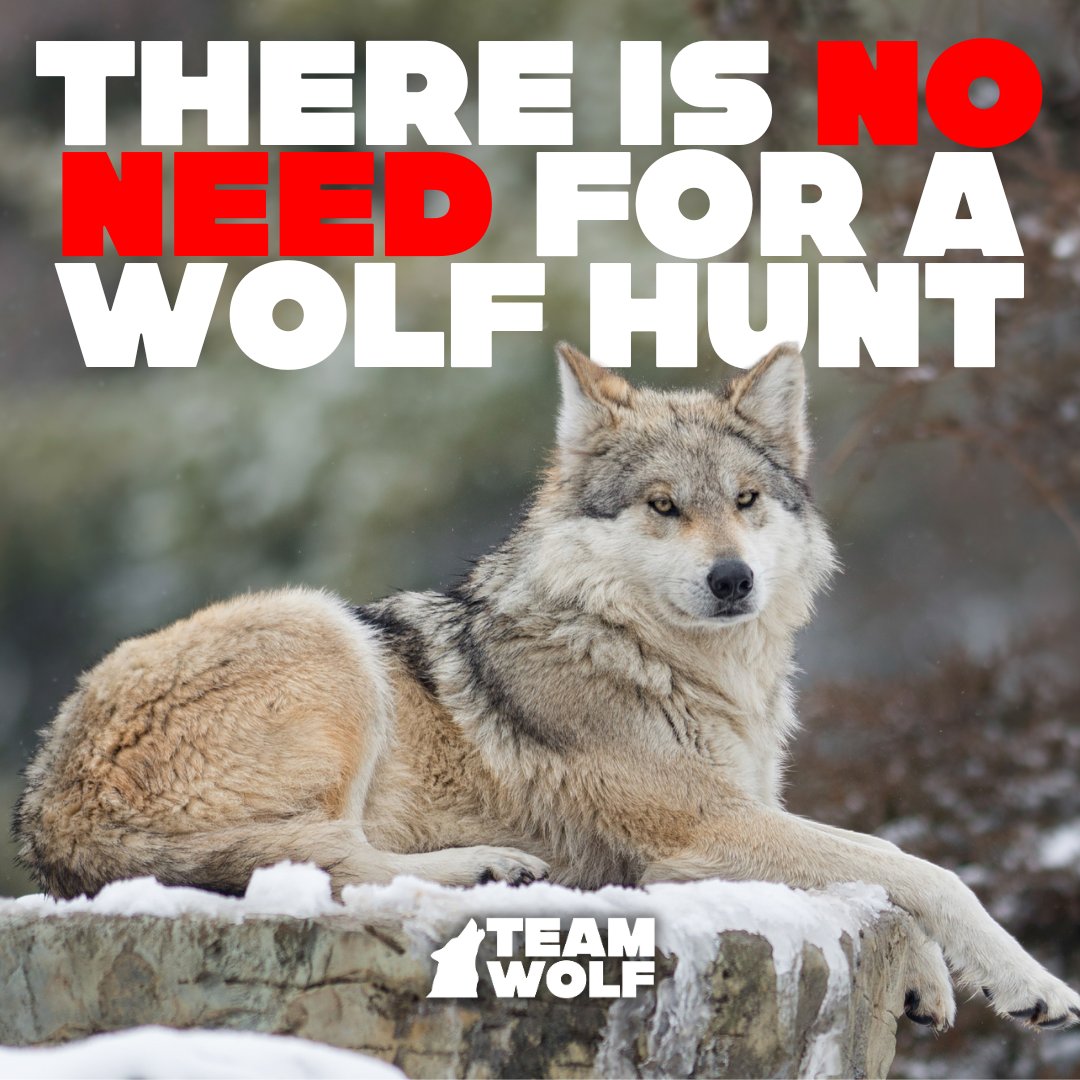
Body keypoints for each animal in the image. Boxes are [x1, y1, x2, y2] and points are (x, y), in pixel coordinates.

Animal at [15, 343, 1080, 1033]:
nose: (733, 579)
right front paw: (1030, 983)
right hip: (324, 631)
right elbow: (914, 865)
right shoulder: (700, 831)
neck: (659, 660)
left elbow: (876, 873)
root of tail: (44, 812)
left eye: (745, 501)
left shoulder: (748, 811)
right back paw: (488, 869)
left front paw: (930, 983)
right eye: (662, 507)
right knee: (316, 861)